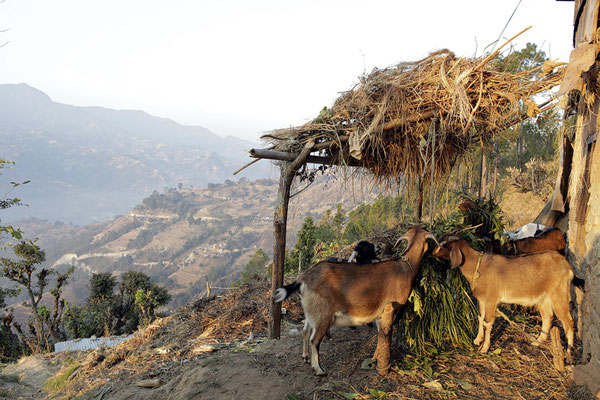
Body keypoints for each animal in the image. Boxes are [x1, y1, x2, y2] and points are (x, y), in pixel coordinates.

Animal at [274, 227, 436, 376]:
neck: (405, 267)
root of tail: (302, 279)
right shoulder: (392, 309)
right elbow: (386, 333)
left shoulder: (381, 312)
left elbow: (380, 333)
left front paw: (375, 359)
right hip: (323, 315)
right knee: (315, 340)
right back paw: (319, 369)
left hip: (312, 312)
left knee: (305, 330)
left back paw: (306, 357)